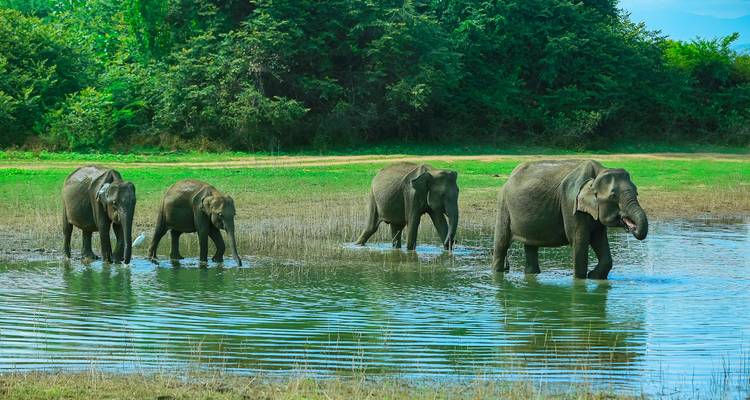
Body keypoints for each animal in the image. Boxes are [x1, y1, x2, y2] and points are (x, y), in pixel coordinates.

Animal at [492, 160, 648, 279]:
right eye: (613, 196)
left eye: (637, 193)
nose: (633, 227)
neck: (599, 172)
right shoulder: (570, 202)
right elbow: (579, 241)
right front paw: (580, 280)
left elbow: (599, 240)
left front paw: (593, 276)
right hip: (503, 205)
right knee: (501, 243)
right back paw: (498, 273)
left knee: (530, 246)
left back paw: (532, 275)